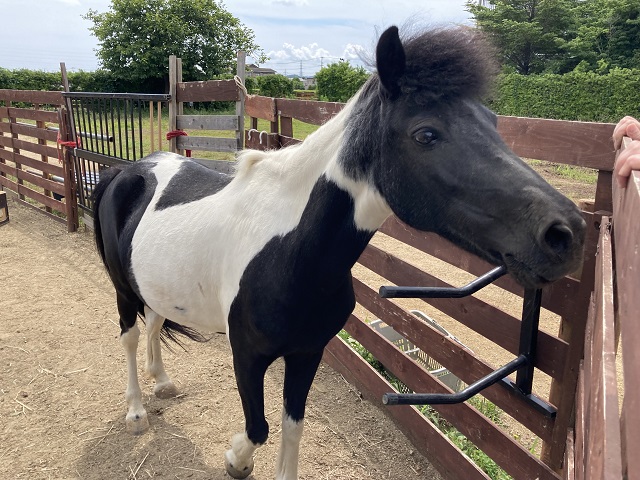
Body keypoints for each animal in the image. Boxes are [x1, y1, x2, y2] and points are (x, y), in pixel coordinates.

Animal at [92, 26, 586, 480]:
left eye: (493, 122)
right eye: (426, 133)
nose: (567, 234)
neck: (290, 251)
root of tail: (131, 171)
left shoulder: (308, 352)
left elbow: (292, 427)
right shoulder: (247, 355)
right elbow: (258, 428)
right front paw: (235, 459)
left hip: (153, 284)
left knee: (155, 321)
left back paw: (163, 383)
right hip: (122, 289)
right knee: (130, 336)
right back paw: (136, 411)